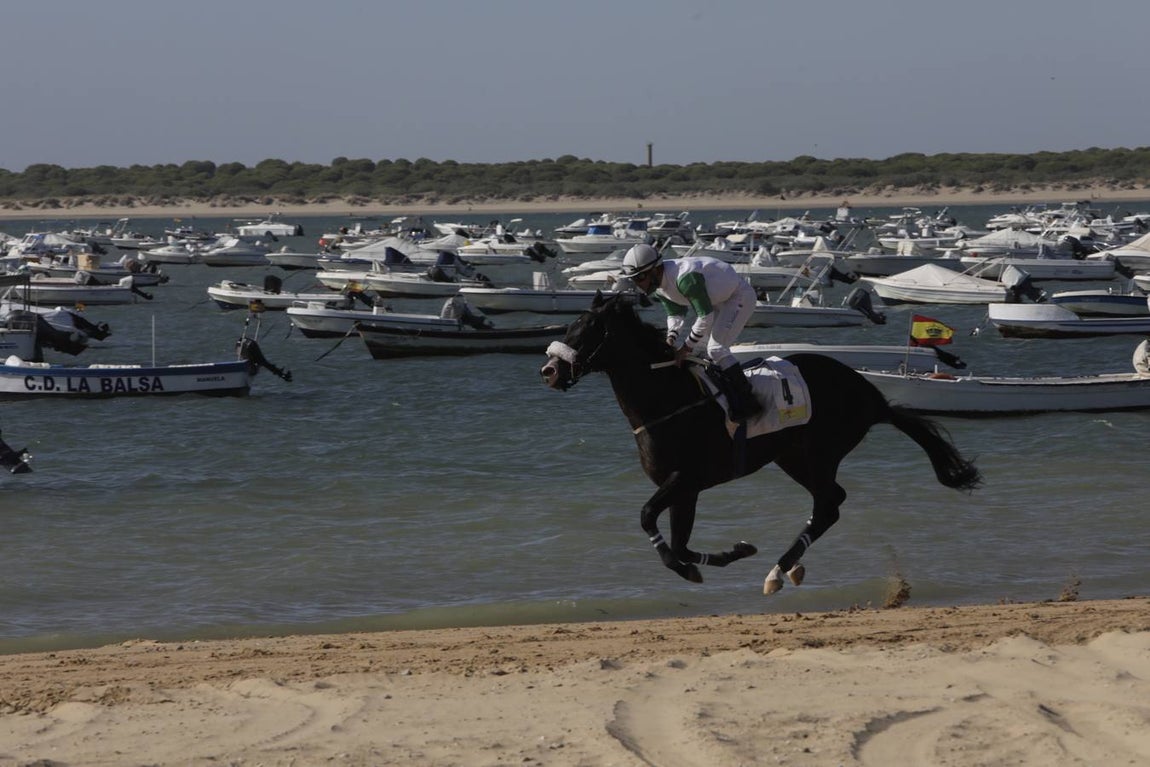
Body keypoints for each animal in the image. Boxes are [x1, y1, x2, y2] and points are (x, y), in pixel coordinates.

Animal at [539, 293, 981, 594]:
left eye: (587, 330)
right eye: (569, 327)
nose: (549, 372)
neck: (668, 400)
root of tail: (871, 396)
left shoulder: (685, 478)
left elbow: (648, 518)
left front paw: (686, 568)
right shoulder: (686, 489)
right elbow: (682, 542)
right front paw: (733, 551)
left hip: (819, 451)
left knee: (829, 504)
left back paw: (779, 571)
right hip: (793, 457)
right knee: (830, 504)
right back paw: (785, 567)